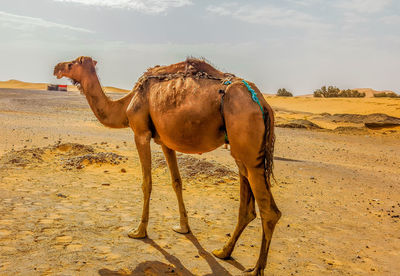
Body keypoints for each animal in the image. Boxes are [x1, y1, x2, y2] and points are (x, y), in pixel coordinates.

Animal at [53, 56, 282, 276]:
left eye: (71, 64)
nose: (57, 68)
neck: (126, 105)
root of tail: (263, 103)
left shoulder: (141, 134)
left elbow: (147, 183)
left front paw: (138, 231)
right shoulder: (165, 142)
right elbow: (176, 182)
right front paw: (183, 227)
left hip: (247, 140)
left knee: (269, 210)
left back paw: (256, 270)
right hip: (240, 150)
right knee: (247, 206)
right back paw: (223, 251)